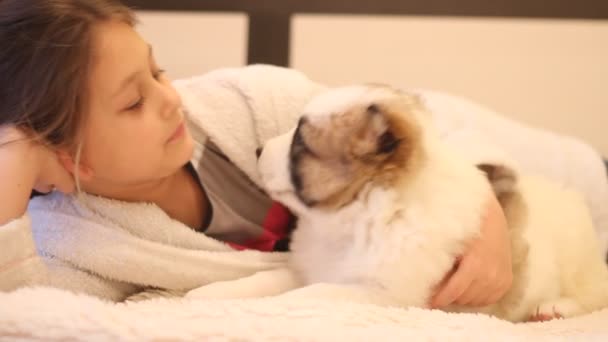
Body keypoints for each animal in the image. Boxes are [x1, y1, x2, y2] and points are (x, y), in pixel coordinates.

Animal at [256, 84, 608, 322]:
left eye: (300, 143)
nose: (258, 149)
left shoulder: (382, 294)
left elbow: (305, 295)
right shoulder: (307, 269)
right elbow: (272, 282)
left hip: (578, 264)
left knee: (595, 293)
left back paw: (554, 307)